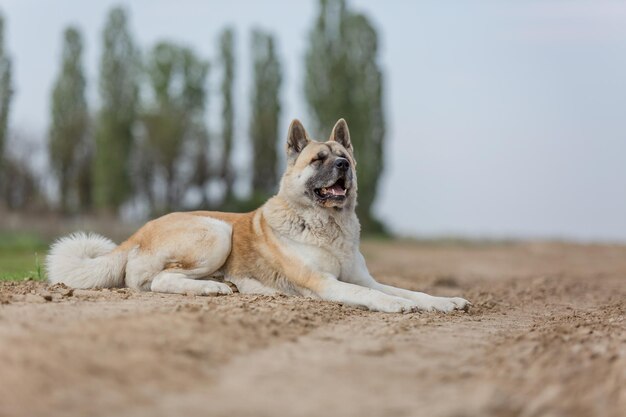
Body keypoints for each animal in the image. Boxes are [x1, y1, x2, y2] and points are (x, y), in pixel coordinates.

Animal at [47, 118, 468, 312]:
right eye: (319, 159)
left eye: (344, 157)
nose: (344, 166)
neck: (327, 225)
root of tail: (136, 233)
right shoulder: (325, 283)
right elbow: (371, 294)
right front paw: (397, 306)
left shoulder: (364, 277)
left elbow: (405, 289)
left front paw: (444, 301)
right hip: (217, 232)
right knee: (156, 281)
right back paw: (214, 288)